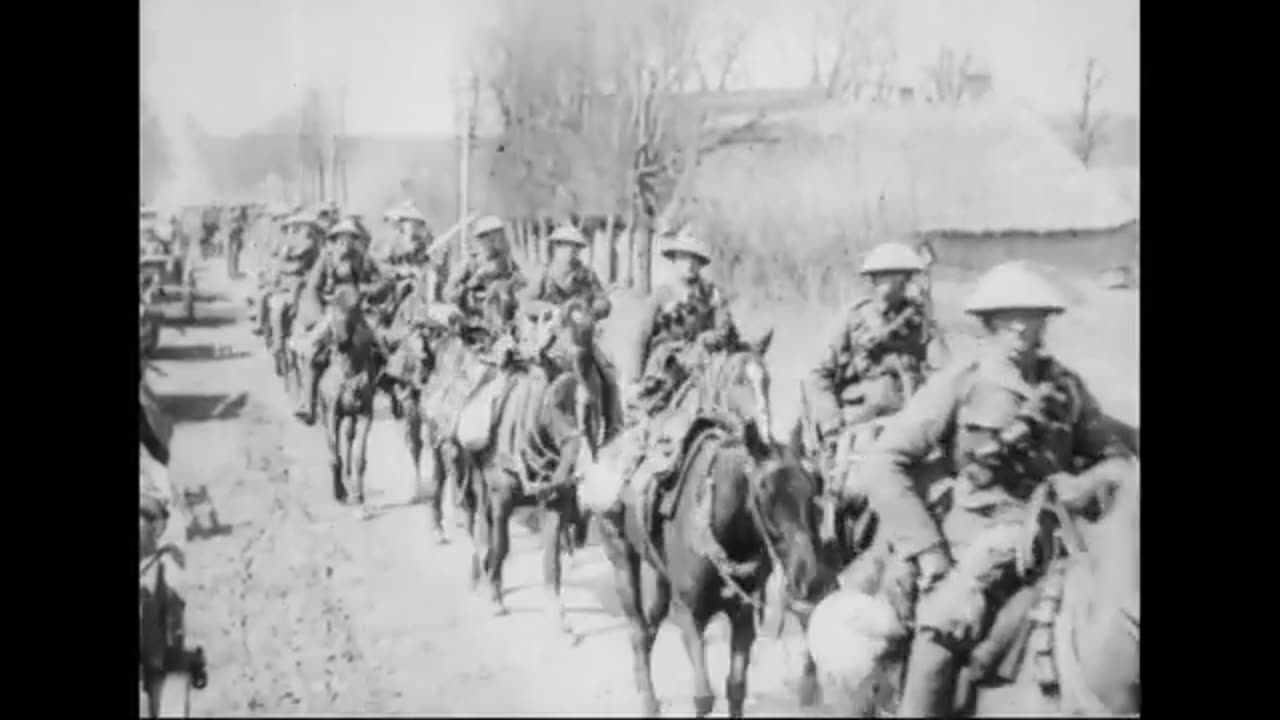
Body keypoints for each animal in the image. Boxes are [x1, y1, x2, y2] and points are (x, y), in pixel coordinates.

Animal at [591, 333, 829, 712]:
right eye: (763, 494)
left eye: (813, 489)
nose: (811, 579)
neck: (724, 526)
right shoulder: (690, 614)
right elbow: (703, 696)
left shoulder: (743, 615)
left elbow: (736, 688)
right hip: (621, 557)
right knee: (638, 629)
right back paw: (648, 700)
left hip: (661, 575)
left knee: (651, 623)